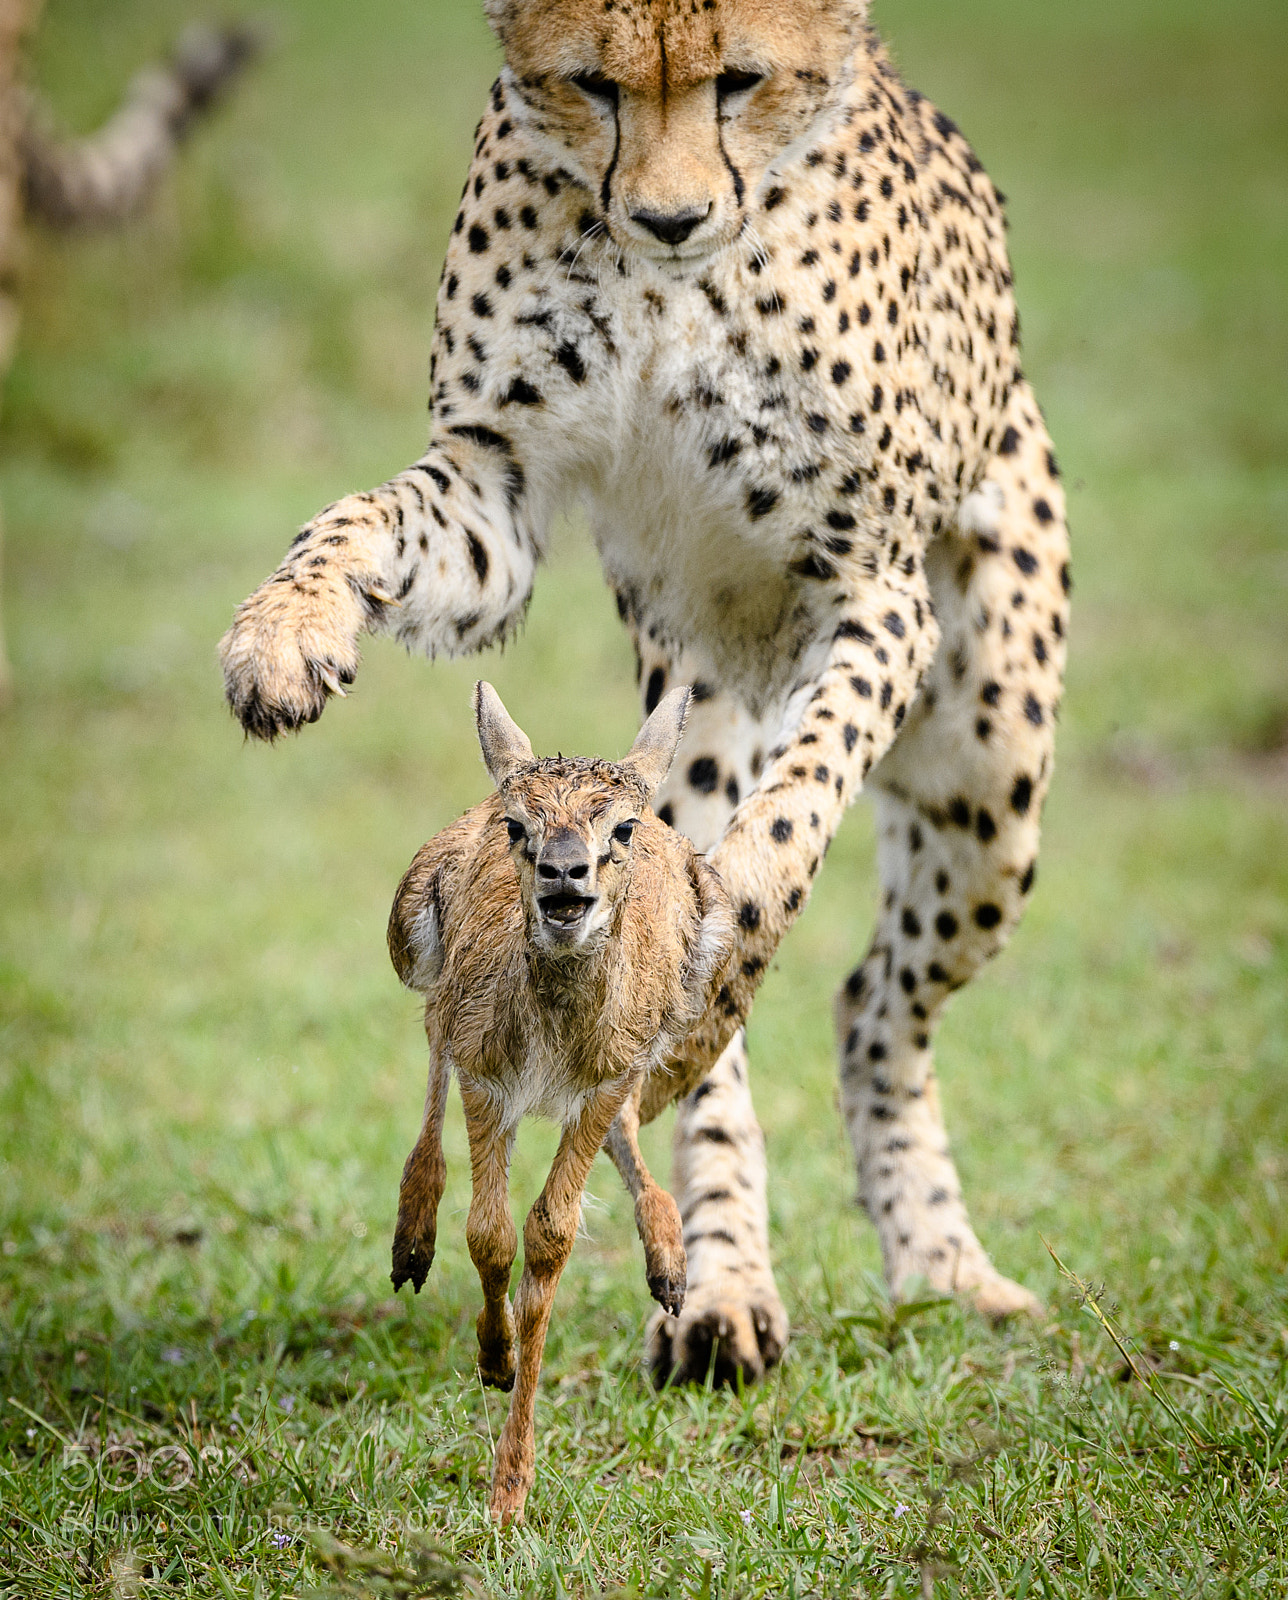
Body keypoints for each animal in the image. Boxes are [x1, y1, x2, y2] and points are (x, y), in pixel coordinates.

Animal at [220, 0, 1071, 1388]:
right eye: (591, 85)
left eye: (742, 80)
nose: (669, 219)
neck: (674, 280)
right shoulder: (497, 487)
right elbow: (360, 516)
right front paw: (282, 630)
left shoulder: (876, 592)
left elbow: (790, 826)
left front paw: (740, 925)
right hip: (702, 723)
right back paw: (722, 1292)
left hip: (989, 780)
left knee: (872, 1004)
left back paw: (939, 1261)